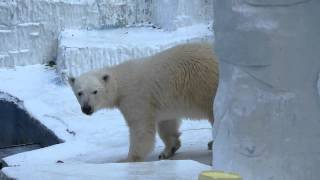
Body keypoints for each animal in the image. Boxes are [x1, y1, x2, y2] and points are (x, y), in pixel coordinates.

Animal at [69, 43, 220, 162]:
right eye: (79, 92)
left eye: (95, 91)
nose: (86, 108)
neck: (121, 84)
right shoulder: (164, 101)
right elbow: (167, 124)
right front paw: (168, 150)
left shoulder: (135, 98)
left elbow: (140, 128)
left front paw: (127, 159)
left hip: (208, 87)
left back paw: (212, 143)